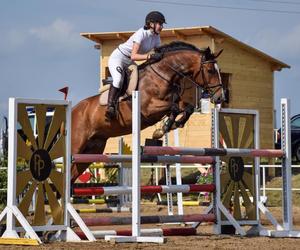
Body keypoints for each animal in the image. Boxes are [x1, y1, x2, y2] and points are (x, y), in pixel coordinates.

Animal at [71, 41, 224, 183]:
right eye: (210, 70)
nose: (220, 97)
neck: (162, 75)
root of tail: (73, 110)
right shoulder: (148, 109)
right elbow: (174, 108)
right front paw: (163, 129)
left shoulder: (173, 101)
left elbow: (187, 107)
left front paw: (171, 125)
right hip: (77, 146)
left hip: (92, 149)